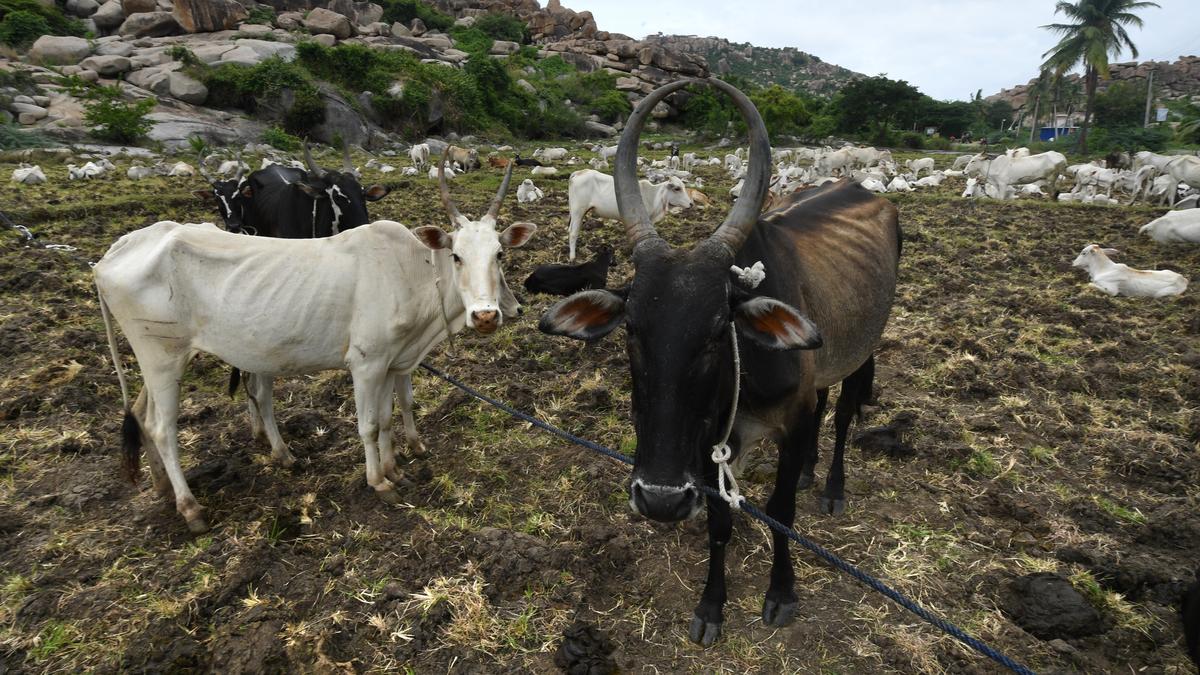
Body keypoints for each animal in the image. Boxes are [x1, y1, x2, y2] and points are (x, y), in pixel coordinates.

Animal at [98, 158, 535, 530]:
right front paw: (380, 482)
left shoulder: (392, 362)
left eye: (500, 254)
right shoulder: (367, 363)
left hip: (157, 363)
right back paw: (190, 508)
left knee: (142, 415)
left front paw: (396, 469)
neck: (413, 270)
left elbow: (389, 417)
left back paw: (161, 486)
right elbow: (369, 425)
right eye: (457, 255)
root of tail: (117, 251)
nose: (486, 315)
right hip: (162, 357)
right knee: (162, 427)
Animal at [568, 168, 696, 260]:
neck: (653, 196)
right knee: (573, 233)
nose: (691, 204)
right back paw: (572, 257)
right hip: (578, 210)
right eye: (677, 188)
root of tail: (579, 172)